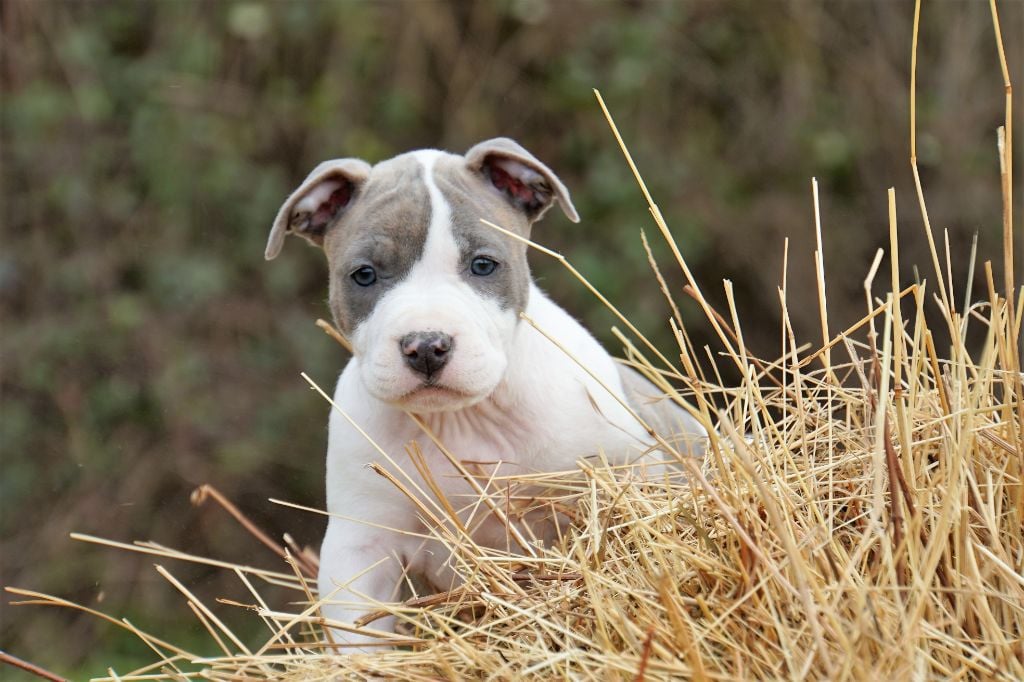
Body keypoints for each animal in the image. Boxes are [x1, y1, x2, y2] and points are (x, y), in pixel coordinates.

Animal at [264, 137, 704, 643]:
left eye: (483, 265)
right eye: (364, 275)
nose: (426, 346)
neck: (464, 419)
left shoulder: (632, 472)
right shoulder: (360, 547)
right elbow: (361, 638)